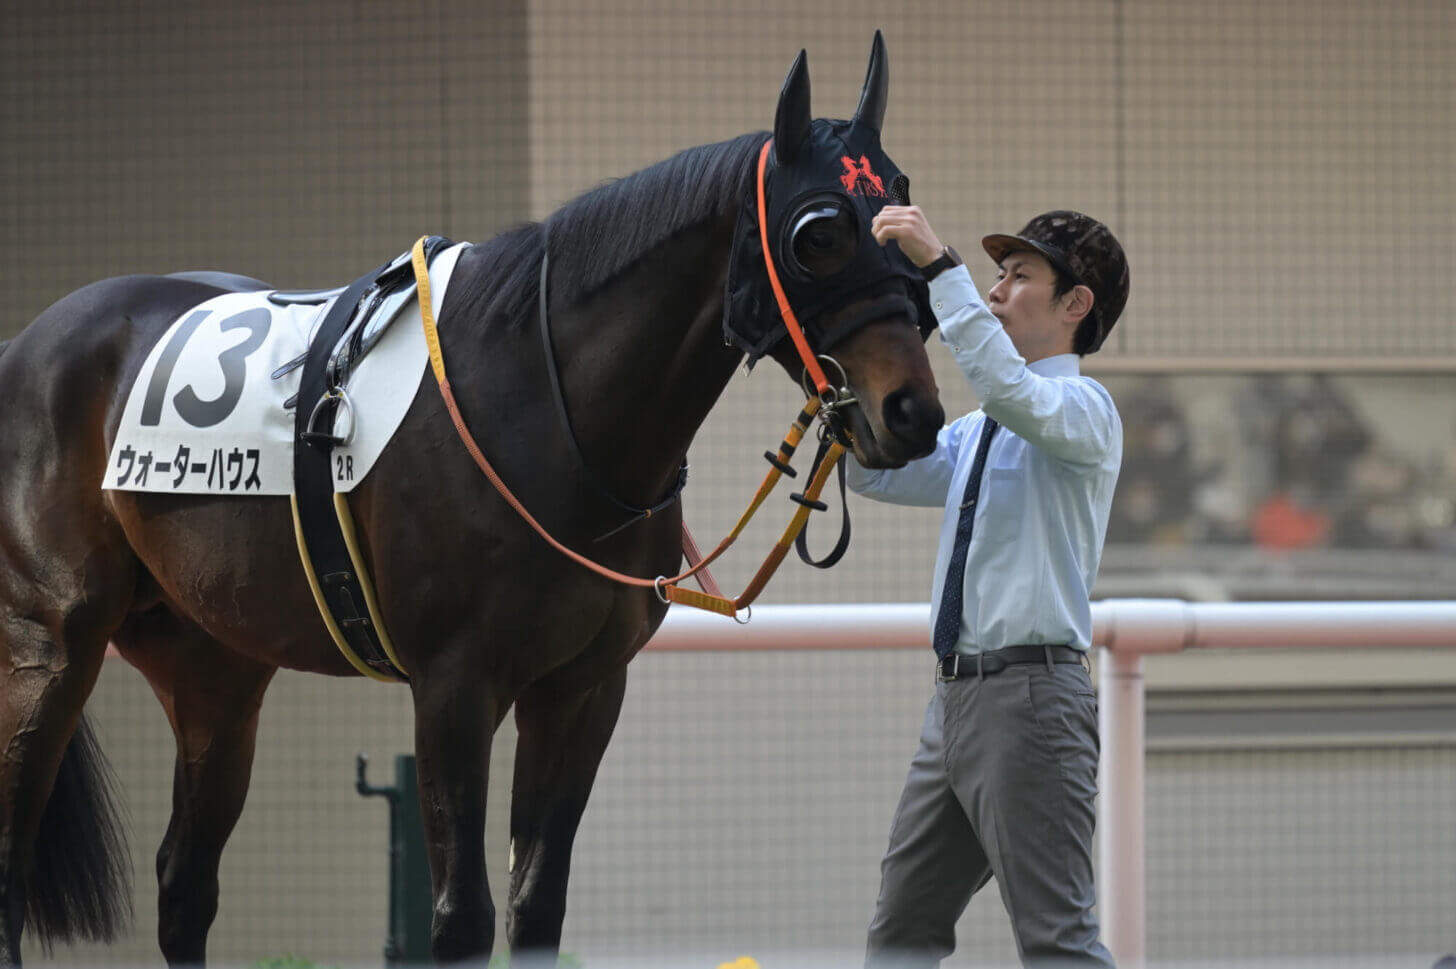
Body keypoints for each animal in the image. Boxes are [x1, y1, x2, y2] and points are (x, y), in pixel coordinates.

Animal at [0, 34, 943, 960]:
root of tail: (28, 341)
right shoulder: (454, 685)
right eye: (818, 233)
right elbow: (463, 918)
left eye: (902, 207)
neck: (544, 405)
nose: (914, 412)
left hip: (212, 661)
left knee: (185, 881)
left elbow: (537, 907)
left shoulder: (582, 689)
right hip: (53, 644)